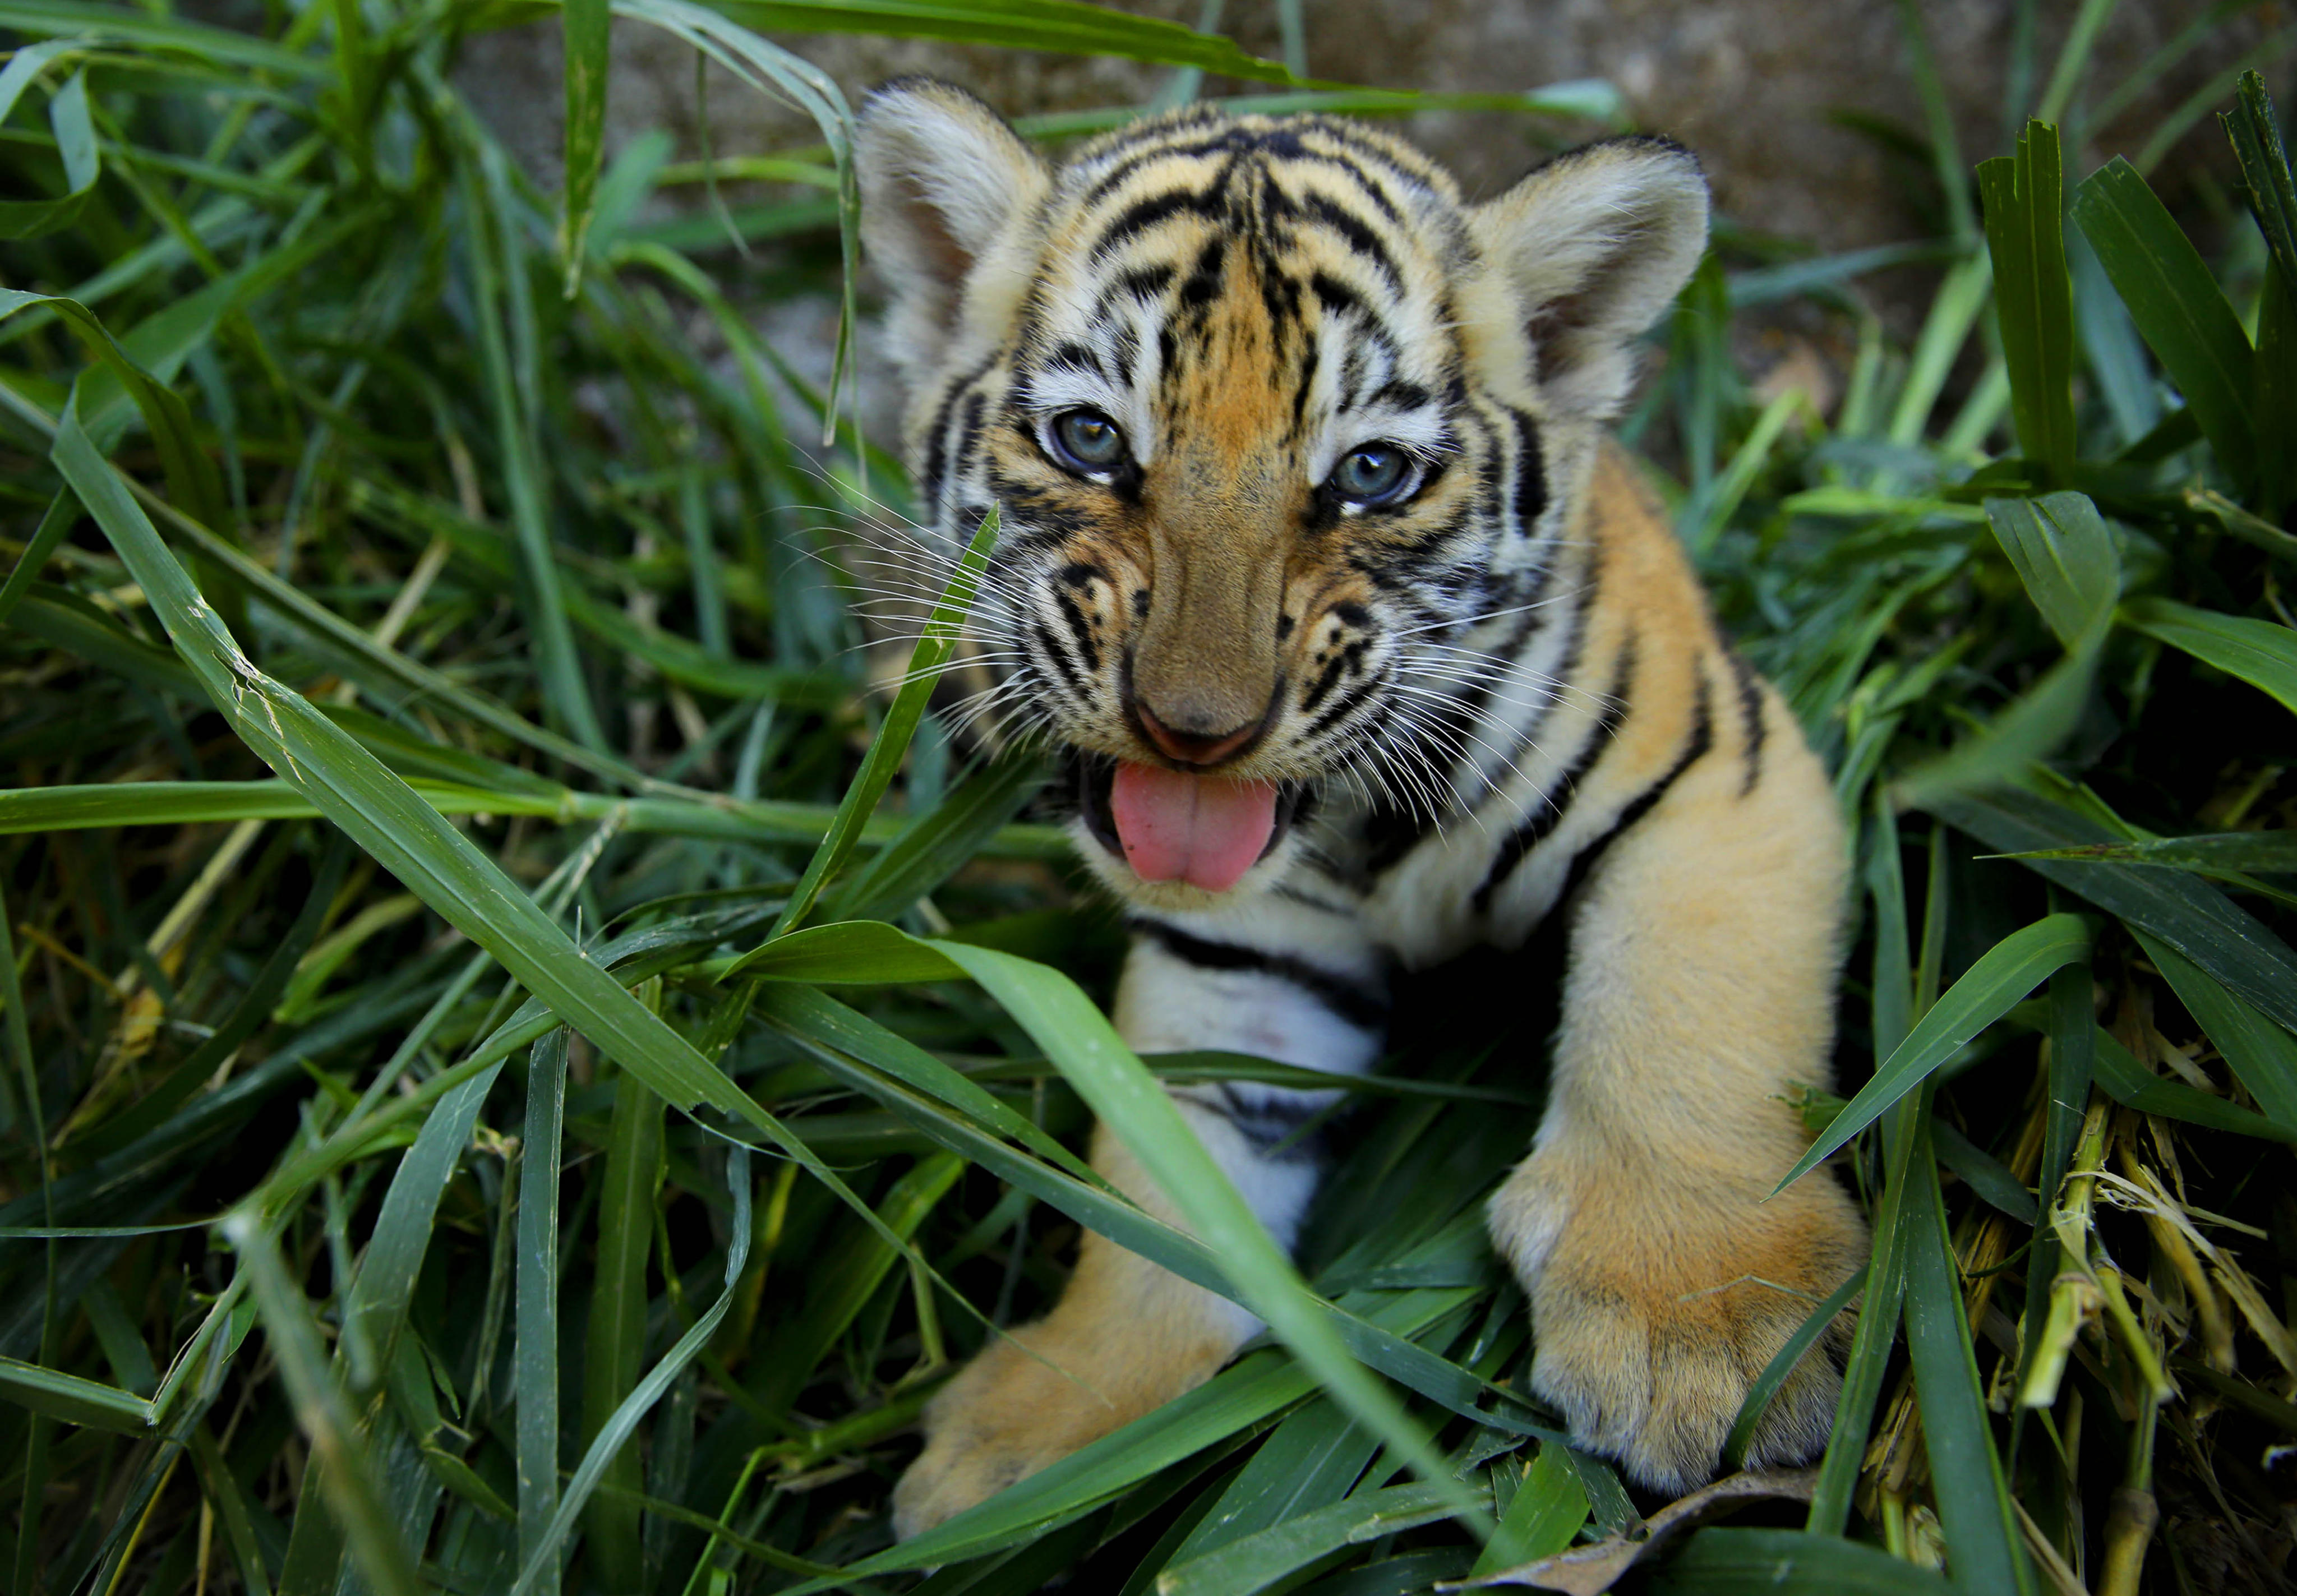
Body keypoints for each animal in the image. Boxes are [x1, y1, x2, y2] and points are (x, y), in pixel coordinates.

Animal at [852, 79, 1870, 1536]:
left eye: (1372, 474)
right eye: (1090, 440)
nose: (1195, 728)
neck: (1359, 823)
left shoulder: (1714, 776)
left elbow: (1683, 1022)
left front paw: (1706, 1333)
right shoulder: (1247, 957)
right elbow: (1168, 1174)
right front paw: (1046, 1426)